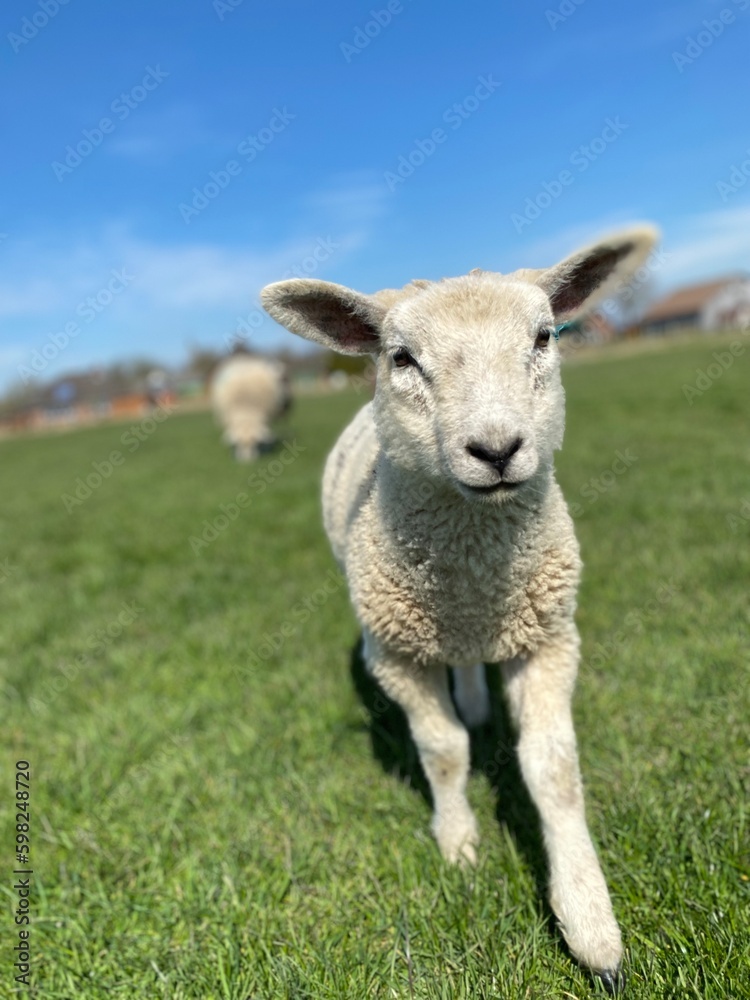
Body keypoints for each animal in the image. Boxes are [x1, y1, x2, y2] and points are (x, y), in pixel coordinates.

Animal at [262, 229, 656, 992]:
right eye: (402, 358)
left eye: (543, 336)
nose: (496, 450)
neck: (474, 581)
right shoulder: (397, 655)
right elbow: (443, 751)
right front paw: (459, 843)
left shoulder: (549, 639)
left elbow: (554, 769)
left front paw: (590, 922)